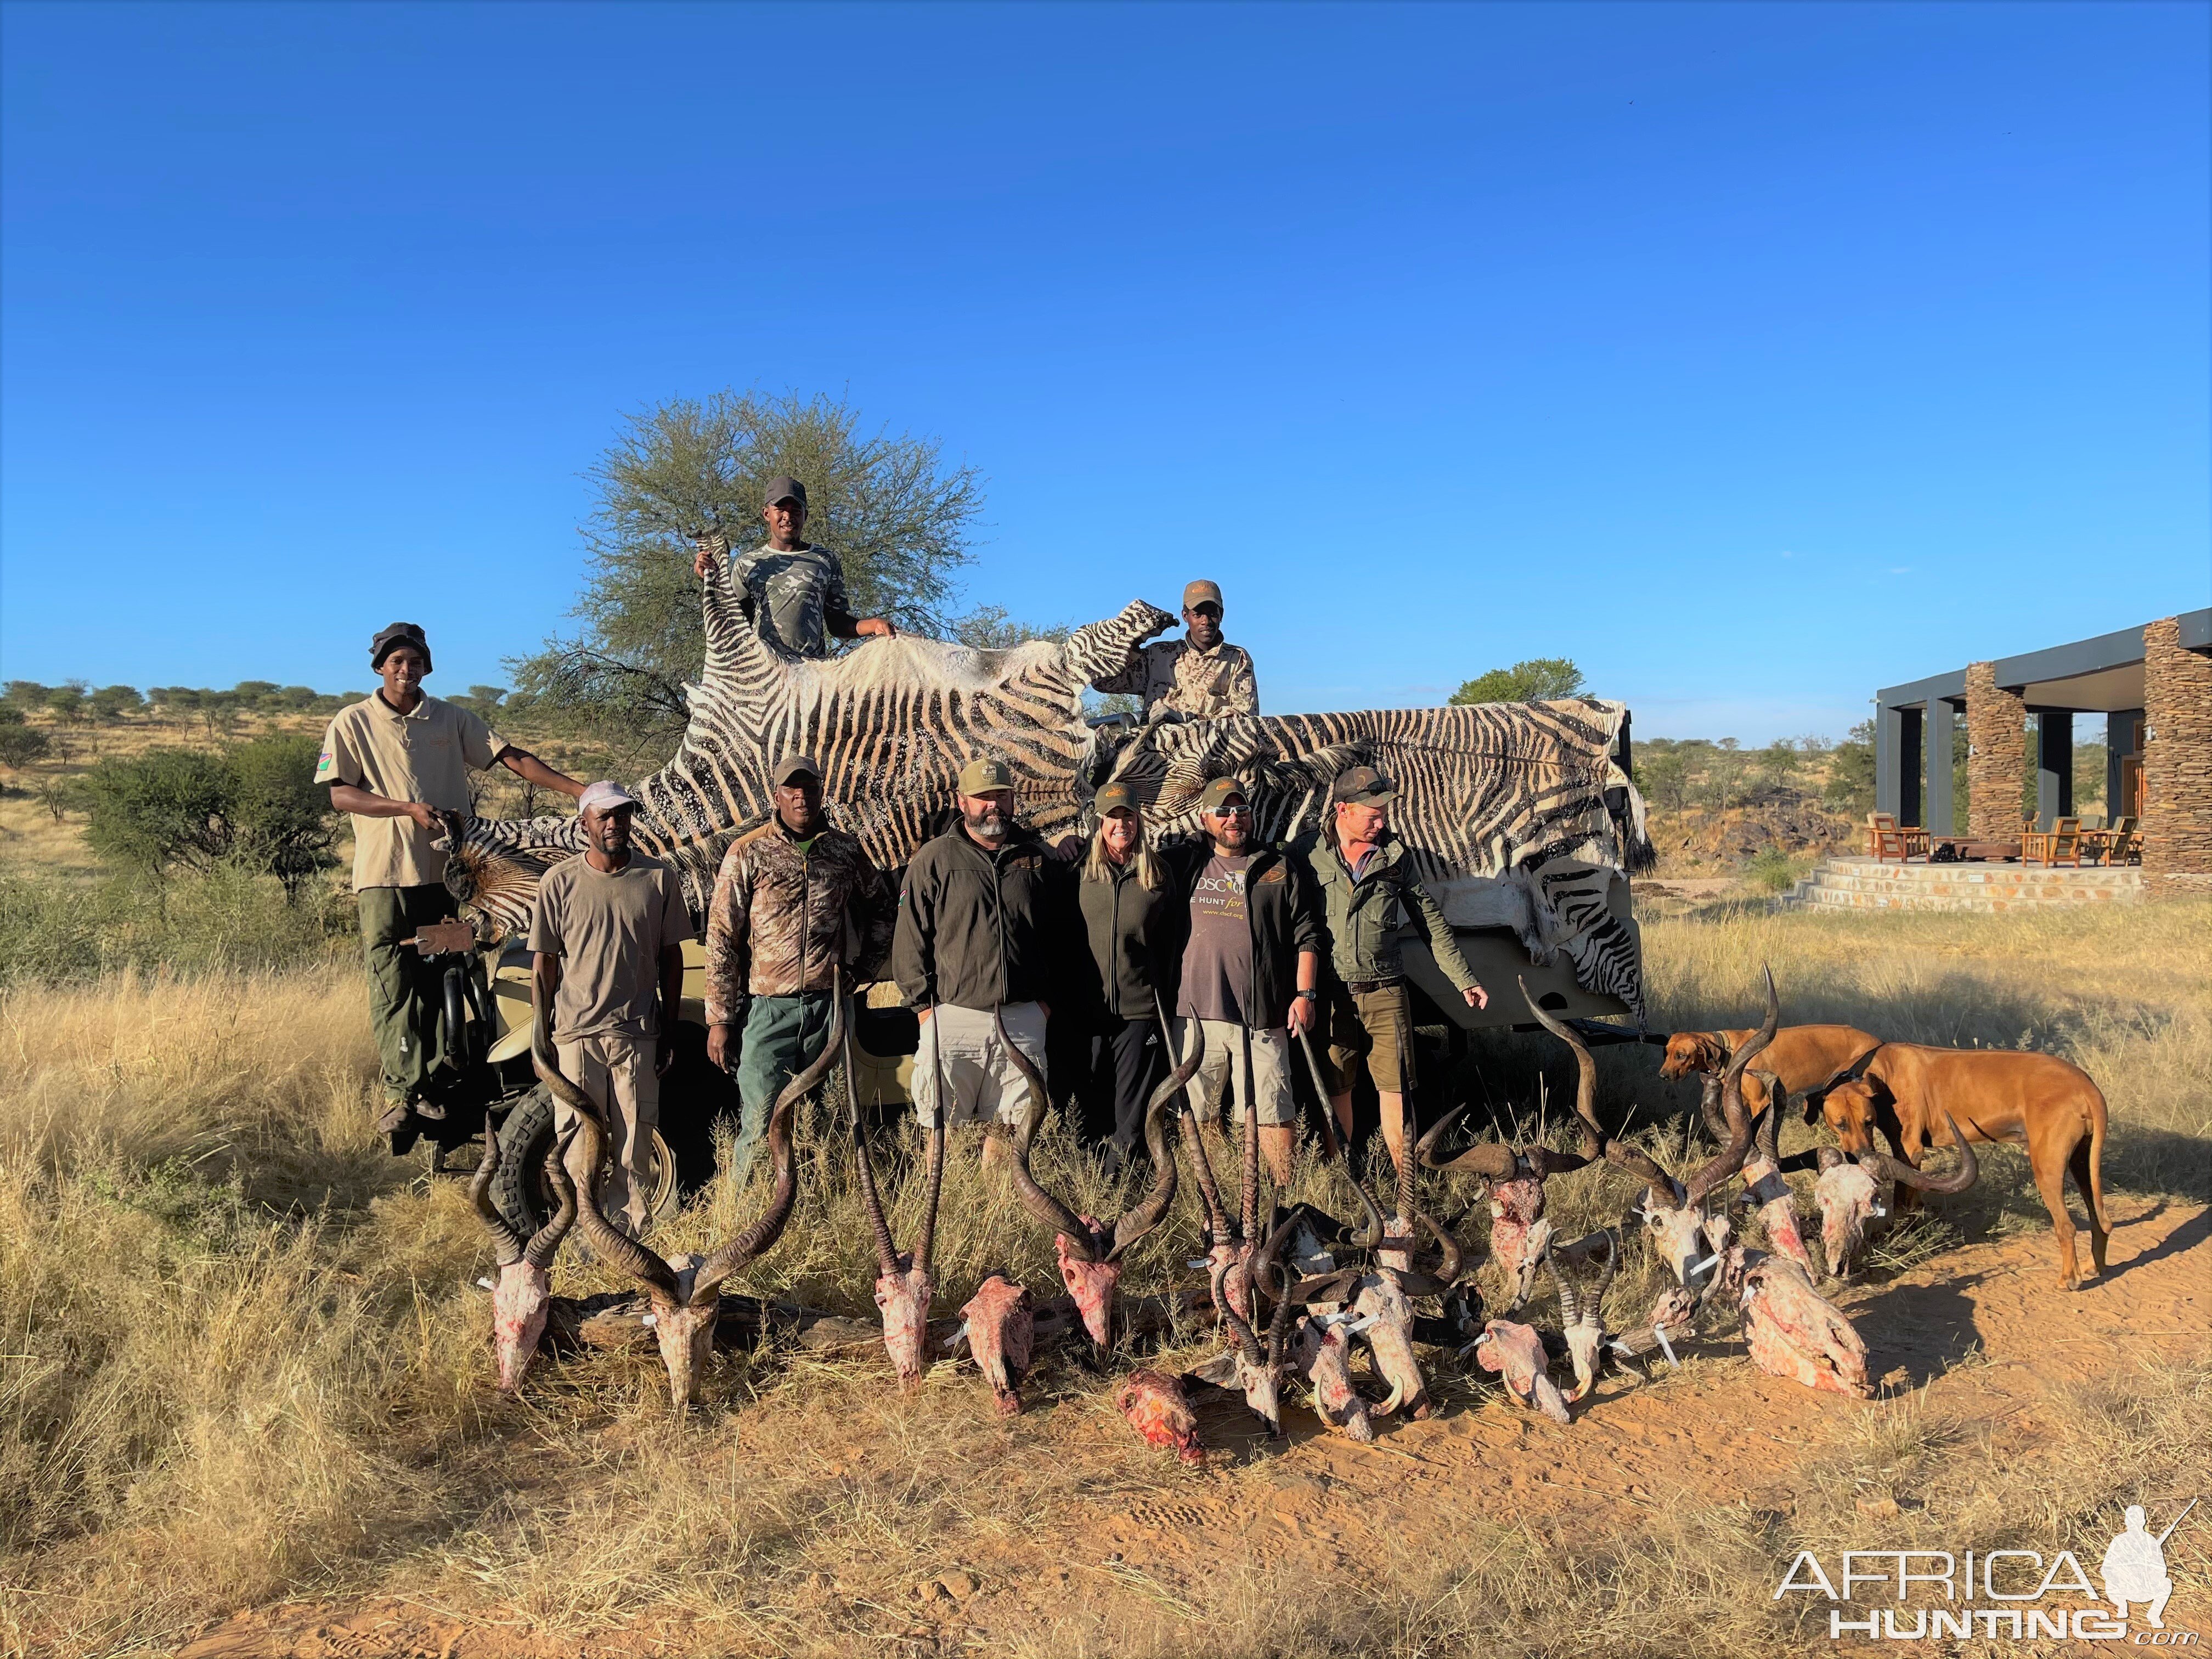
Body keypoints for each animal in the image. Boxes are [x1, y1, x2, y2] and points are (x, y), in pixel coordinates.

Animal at [1663, 1026, 1884, 1119]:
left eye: (1681, 1055)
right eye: (1667, 1052)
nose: (1663, 1075)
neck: (1729, 1051)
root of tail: (1878, 1041)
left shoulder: (1759, 1102)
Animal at [1814, 1044, 2106, 1291]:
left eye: (1868, 1121)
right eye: (1841, 1124)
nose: (1861, 1155)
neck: (1878, 1071)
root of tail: (2085, 1084)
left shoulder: (1908, 1149)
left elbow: (1901, 1202)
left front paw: (1898, 1238)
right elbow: (1915, 1197)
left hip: (2047, 1166)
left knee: (2067, 1226)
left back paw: (2069, 1279)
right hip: (2083, 1162)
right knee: (2100, 1219)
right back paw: (2095, 1265)